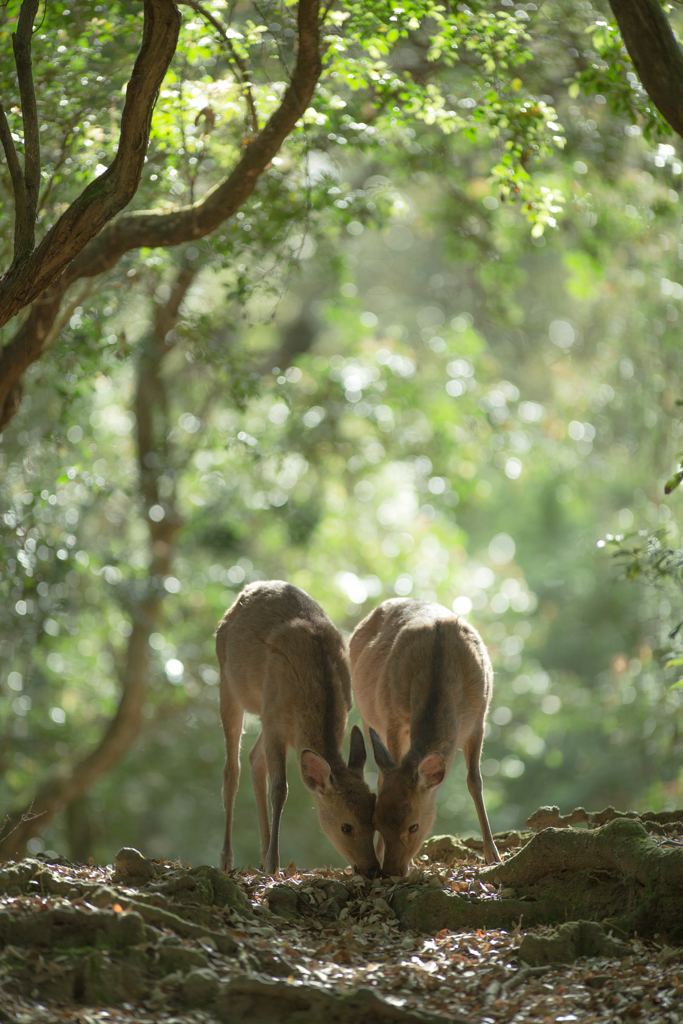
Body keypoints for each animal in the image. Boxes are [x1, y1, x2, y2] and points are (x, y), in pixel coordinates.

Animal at [216, 581, 382, 876]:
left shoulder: (276, 718)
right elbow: (280, 789)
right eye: (346, 826)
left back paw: (261, 854)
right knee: (231, 770)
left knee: (254, 759)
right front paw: (275, 864)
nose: (373, 868)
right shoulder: (274, 718)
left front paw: (270, 860)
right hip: (228, 680)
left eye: (373, 819)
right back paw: (227, 858)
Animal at [350, 598, 499, 880]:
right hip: (366, 714)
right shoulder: (392, 718)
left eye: (413, 826)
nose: (390, 871)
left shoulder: (479, 718)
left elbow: (475, 780)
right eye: (375, 821)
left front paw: (493, 856)